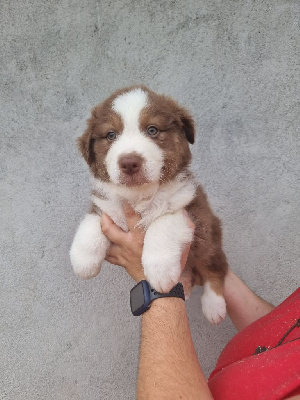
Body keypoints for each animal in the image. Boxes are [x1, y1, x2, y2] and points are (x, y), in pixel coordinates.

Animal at [70, 85, 229, 324]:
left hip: (209, 239)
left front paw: (160, 270)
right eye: (111, 135)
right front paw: (83, 260)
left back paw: (214, 305)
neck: (139, 196)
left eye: (152, 130)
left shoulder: (191, 206)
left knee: (215, 266)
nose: (129, 163)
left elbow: (162, 222)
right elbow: (94, 220)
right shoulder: (107, 204)